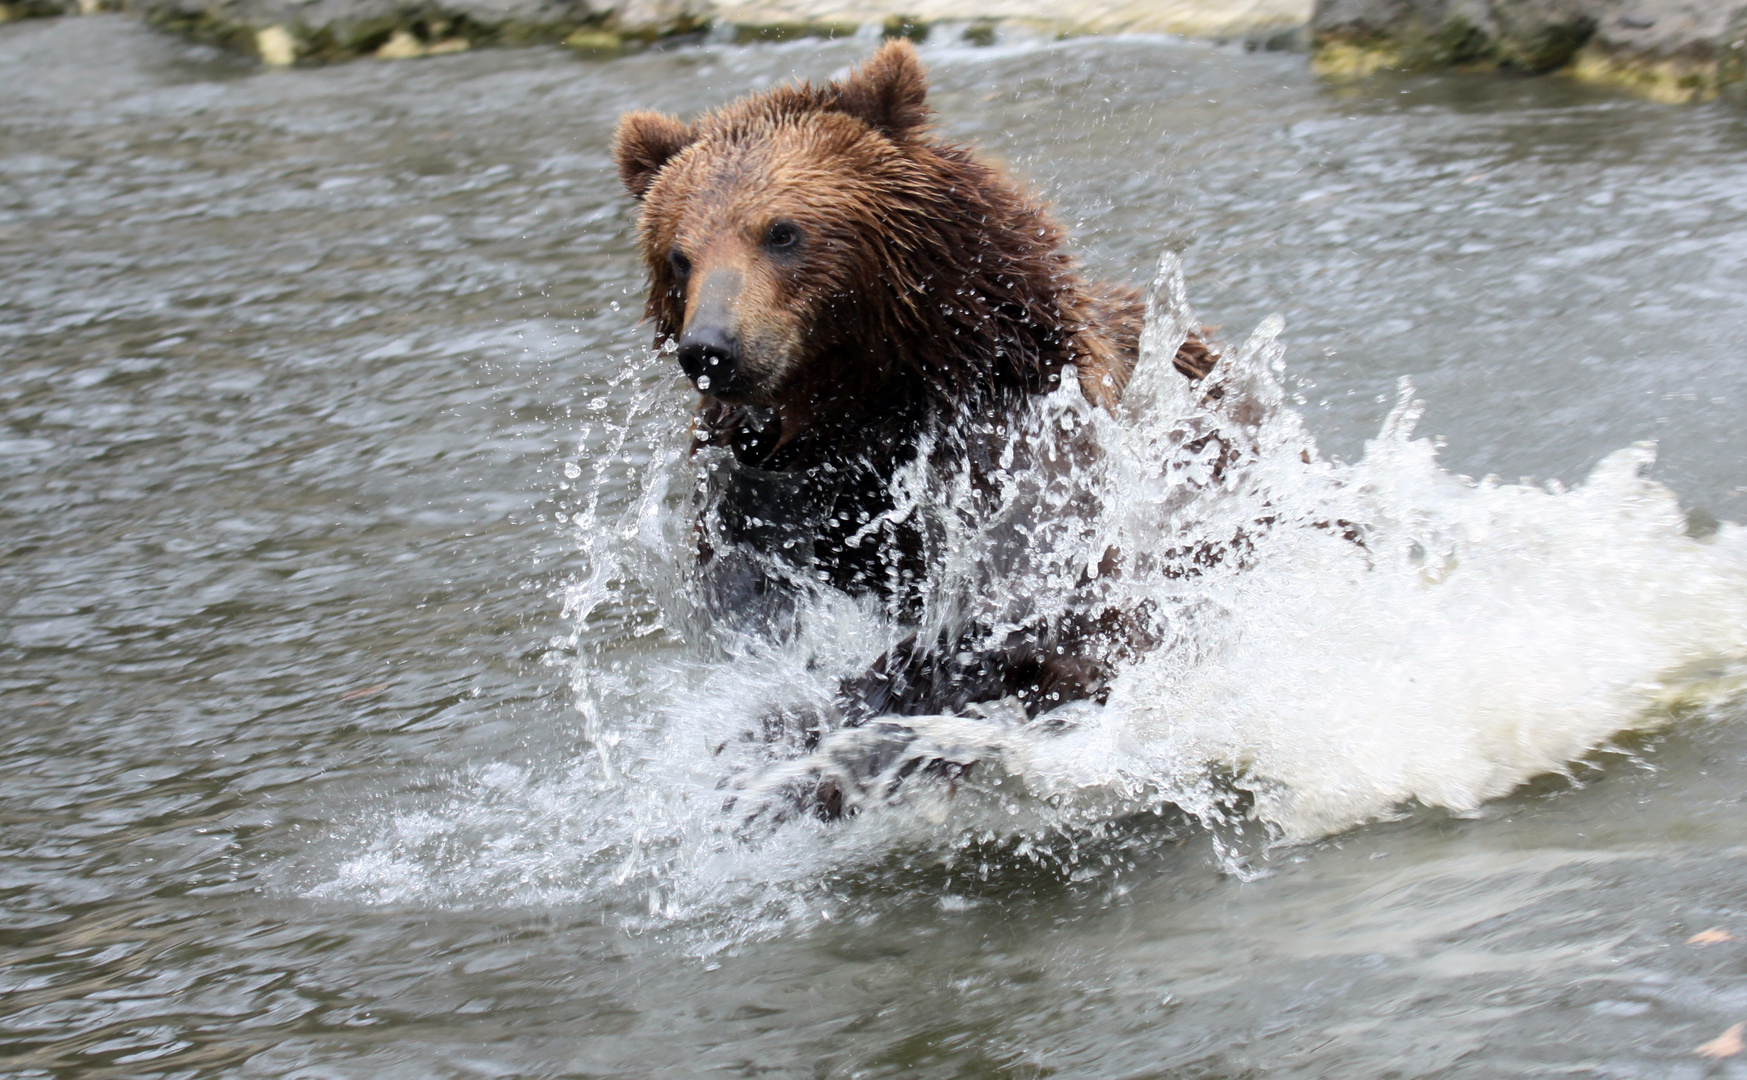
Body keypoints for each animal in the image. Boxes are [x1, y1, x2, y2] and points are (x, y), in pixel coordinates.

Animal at [618, 39, 1215, 789]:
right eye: (679, 254)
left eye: (781, 232)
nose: (711, 348)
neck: (865, 399)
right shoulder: (771, 481)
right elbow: (751, 601)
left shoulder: (1015, 430)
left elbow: (1028, 604)